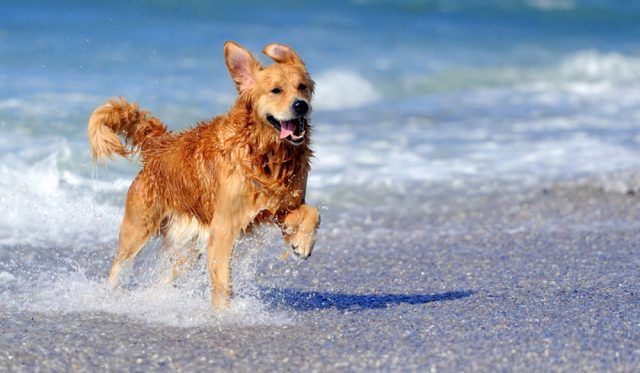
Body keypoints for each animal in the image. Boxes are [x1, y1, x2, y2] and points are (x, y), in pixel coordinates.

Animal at [87, 41, 320, 308]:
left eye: (302, 87)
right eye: (276, 90)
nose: (301, 105)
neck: (265, 153)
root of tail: (160, 146)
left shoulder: (281, 207)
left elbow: (313, 212)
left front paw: (302, 243)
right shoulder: (224, 226)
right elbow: (222, 281)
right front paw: (225, 313)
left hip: (187, 248)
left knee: (166, 278)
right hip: (138, 229)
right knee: (119, 266)